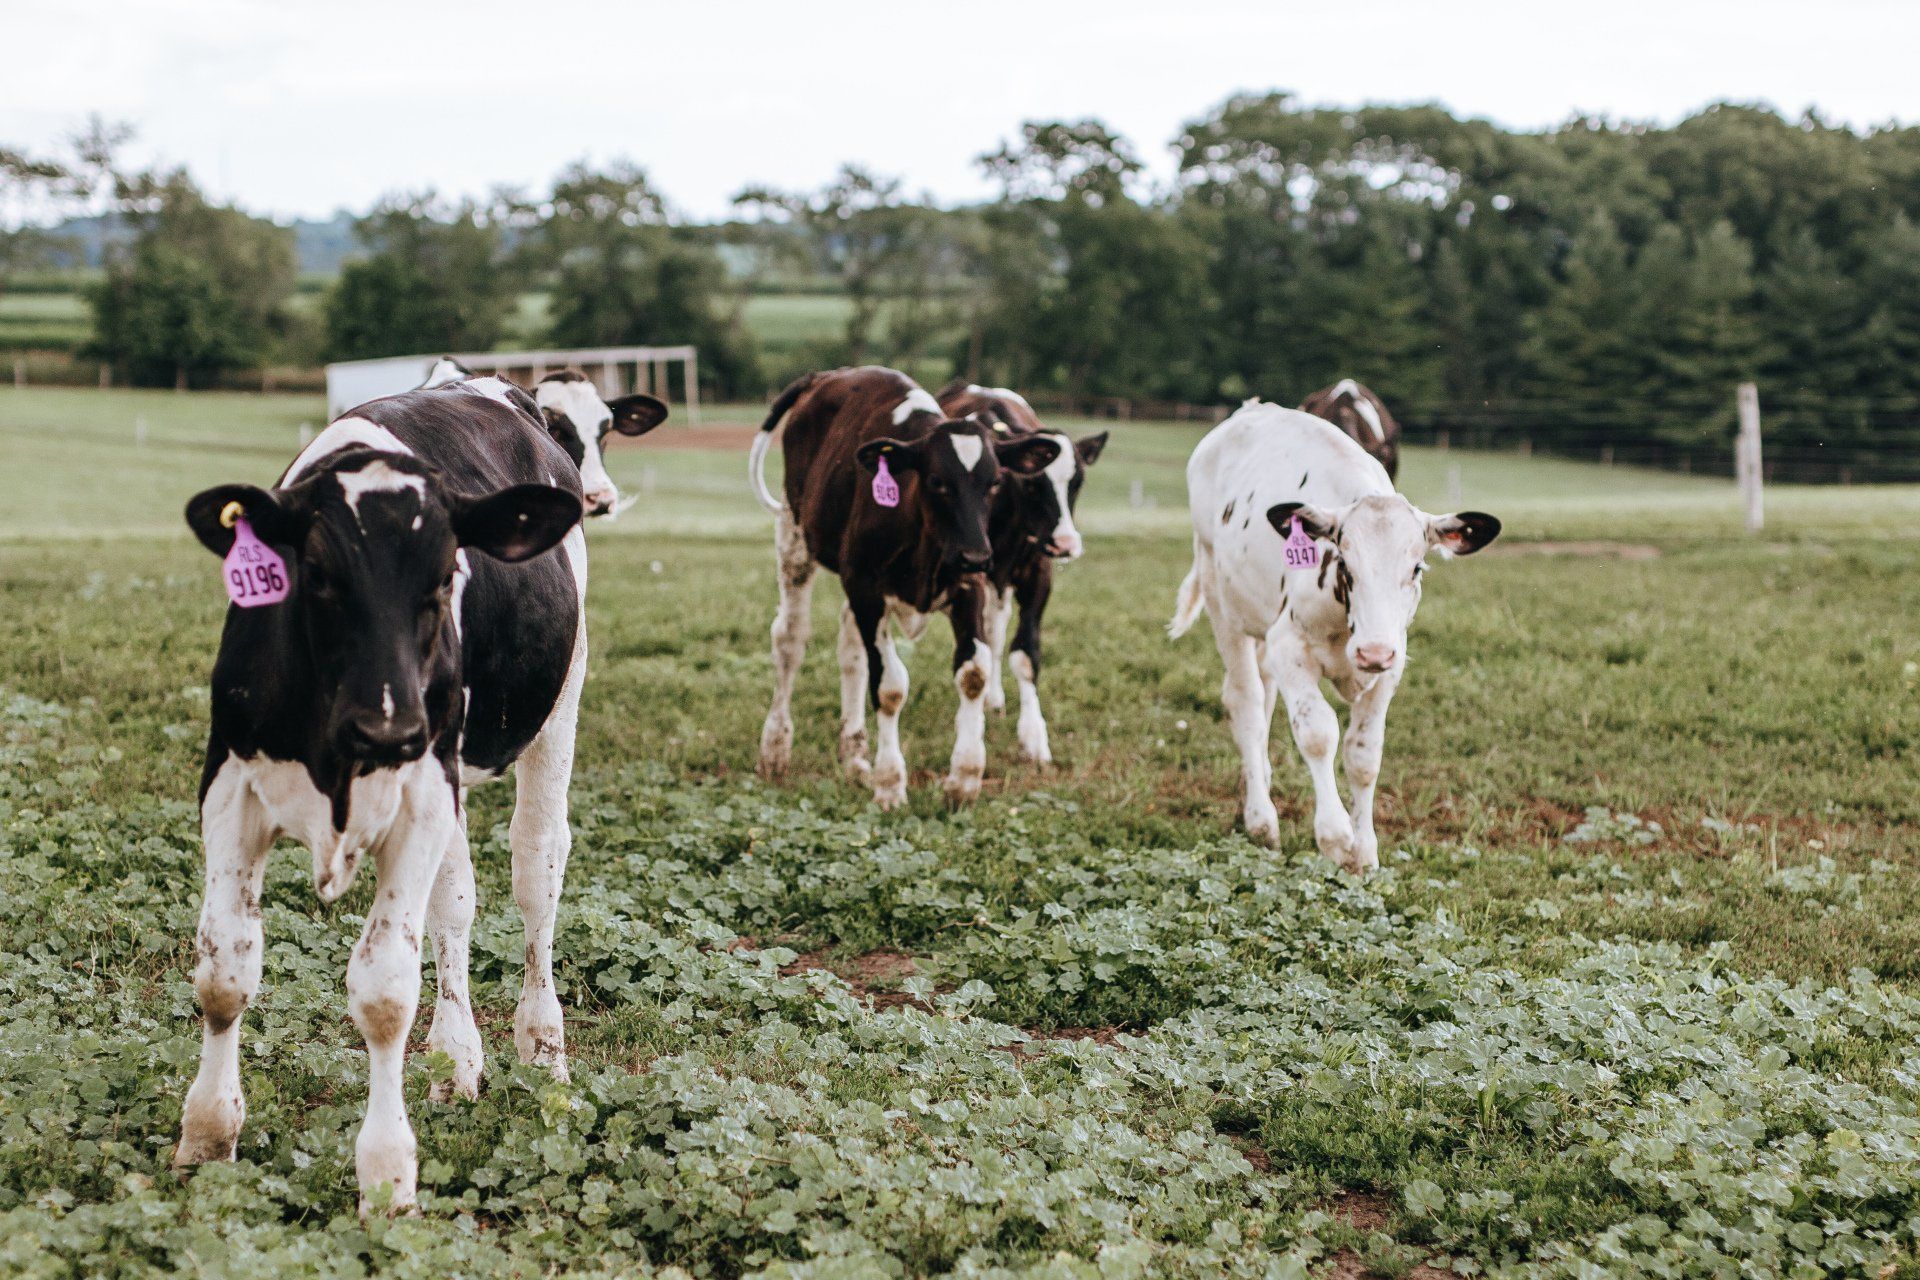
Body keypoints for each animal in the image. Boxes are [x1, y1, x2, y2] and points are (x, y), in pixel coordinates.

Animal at [174, 376, 589, 1214]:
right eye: (318, 575)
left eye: (445, 577)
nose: (390, 726)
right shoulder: (229, 788)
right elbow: (224, 973)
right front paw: (206, 1136)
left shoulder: (421, 796)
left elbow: (385, 993)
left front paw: (388, 1178)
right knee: (455, 902)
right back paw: (456, 1060)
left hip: (557, 702)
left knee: (537, 870)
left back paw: (543, 1051)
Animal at [748, 366, 1062, 807]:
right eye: (937, 481)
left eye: (995, 482)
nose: (976, 555)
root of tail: (825, 376)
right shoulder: (865, 588)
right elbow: (890, 686)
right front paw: (890, 784)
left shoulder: (968, 588)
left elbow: (974, 674)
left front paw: (964, 779)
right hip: (795, 540)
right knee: (789, 641)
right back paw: (775, 748)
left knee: (851, 652)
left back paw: (854, 753)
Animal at [934, 381, 1107, 765]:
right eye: (1031, 484)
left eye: (1077, 482)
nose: (1065, 543)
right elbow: (975, 649)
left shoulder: (1037, 574)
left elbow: (1025, 653)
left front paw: (1033, 735)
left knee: (997, 633)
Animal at [1168, 400, 1499, 871]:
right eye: (1344, 562)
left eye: (1417, 568)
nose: (1373, 651)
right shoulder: (1290, 647)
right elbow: (1318, 734)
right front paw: (1335, 835)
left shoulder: (1391, 666)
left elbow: (1364, 754)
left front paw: (1364, 852)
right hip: (1221, 599)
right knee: (1246, 702)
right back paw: (1261, 820)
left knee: (1265, 699)